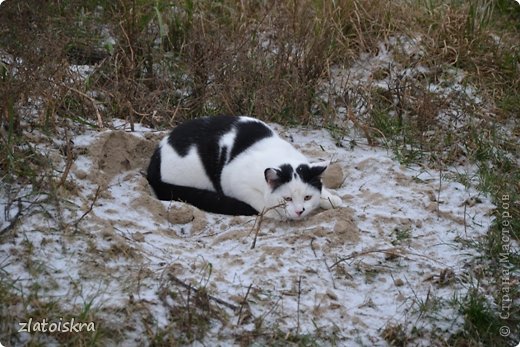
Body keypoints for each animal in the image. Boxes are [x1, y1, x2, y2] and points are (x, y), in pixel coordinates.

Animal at [146, 117, 342, 220]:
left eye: (307, 197)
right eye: (287, 199)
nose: (299, 211)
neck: (280, 156)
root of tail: (157, 152)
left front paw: (331, 199)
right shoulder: (234, 180)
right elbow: (262, 202)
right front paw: (276, 211)